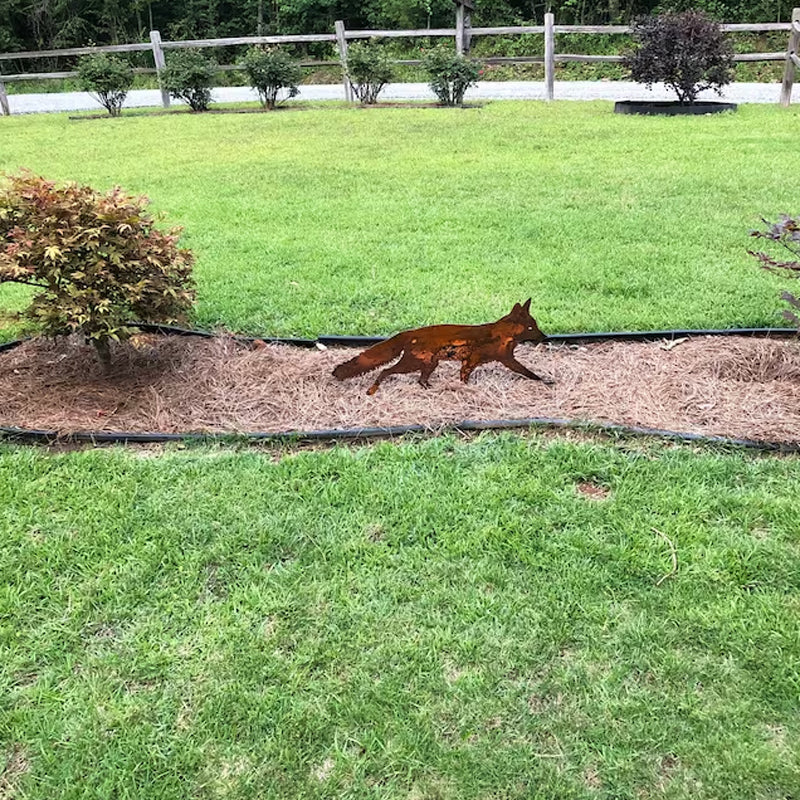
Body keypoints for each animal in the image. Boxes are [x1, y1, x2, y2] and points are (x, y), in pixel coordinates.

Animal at [332, 298, 551, 395]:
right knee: (385, 371)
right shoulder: (475, 361)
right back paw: (372, 389)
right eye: (531, 327)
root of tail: (410, 332)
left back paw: (430, 389)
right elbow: (528, 372)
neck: (502, 335)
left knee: (420, 380)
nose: (546, 337)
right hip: (412, 364)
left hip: (429, 365)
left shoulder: (501, 360)